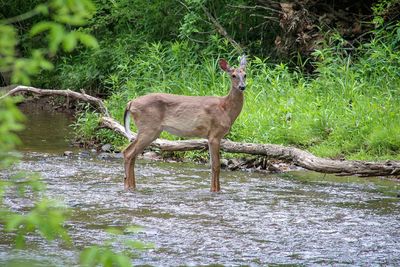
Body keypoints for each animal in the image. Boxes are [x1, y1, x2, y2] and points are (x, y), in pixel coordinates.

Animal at [122, 55, 247, 192]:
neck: (226, 109)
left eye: (245, 75)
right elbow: (216, 166)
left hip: (150, 130)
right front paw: (215, 191)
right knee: (128, 152)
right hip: (148, 128)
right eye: (233, 75)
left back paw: (131, 186)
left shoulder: (211, 137)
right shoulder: (215, 135)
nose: (242, 86)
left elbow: (213, 165)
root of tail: (130, 103)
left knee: (132, 154)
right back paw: (129, 186)